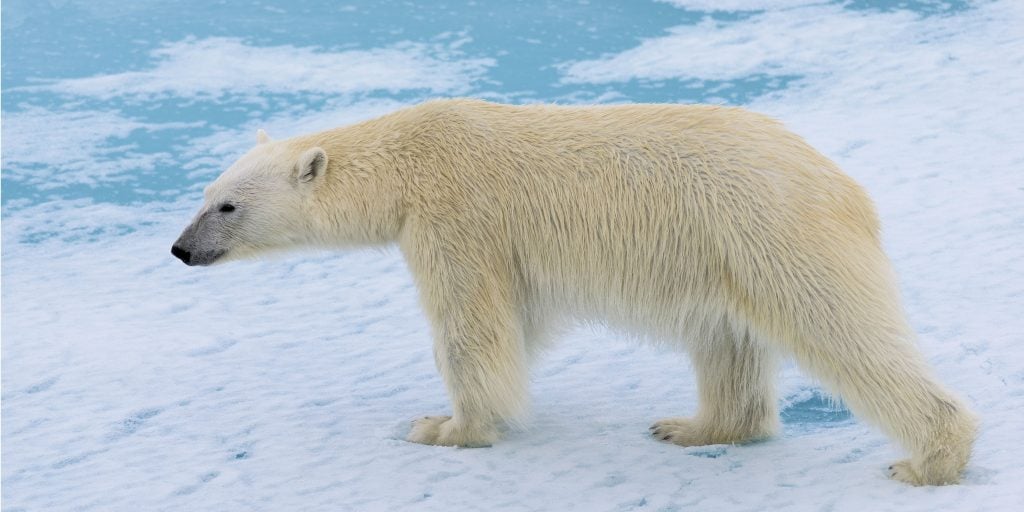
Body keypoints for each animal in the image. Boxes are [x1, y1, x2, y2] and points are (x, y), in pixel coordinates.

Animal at [174, 98, 974, 483]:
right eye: (205, 194)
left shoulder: (457, 216)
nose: (181, 249)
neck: (407, 158)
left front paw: (444, 428)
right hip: (724, 257)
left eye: (228, 207)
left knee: (842, 330)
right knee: (725, 339)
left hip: (773, 234)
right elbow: (518, 325)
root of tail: (845, 186)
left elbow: (471, 330)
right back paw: (693, 426)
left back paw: (928, 460)